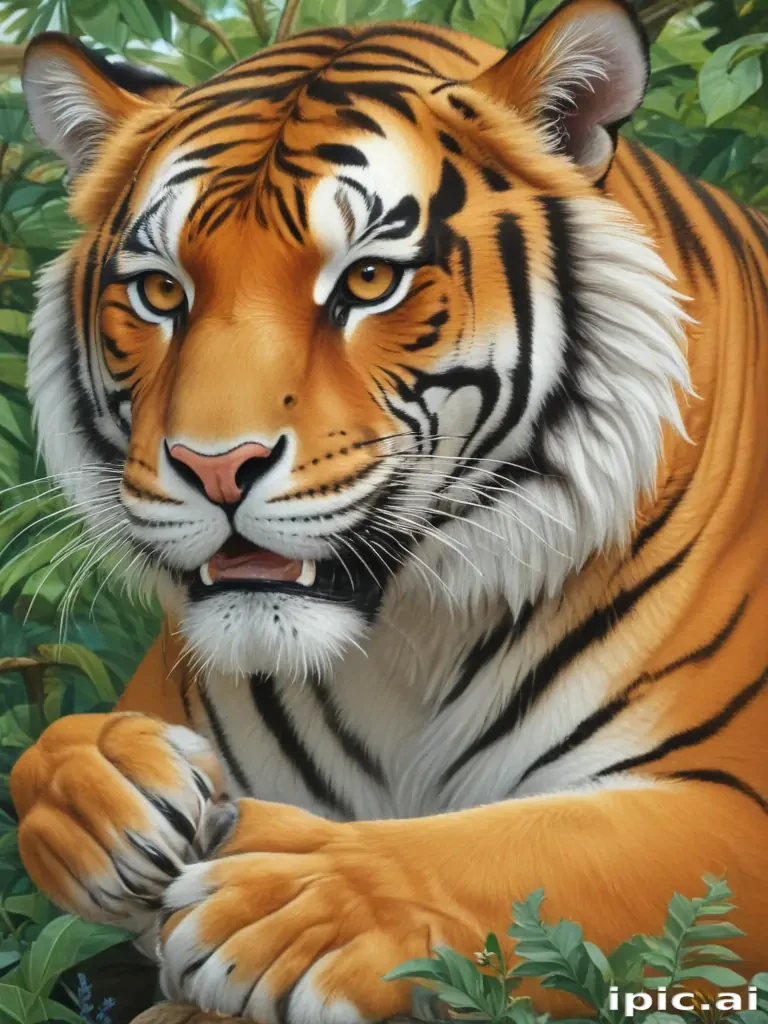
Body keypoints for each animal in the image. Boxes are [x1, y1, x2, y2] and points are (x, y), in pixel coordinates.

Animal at [9, 0, 768, 1019]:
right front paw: (112, 790)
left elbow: (520, 851)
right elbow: (41, 754)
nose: (217, 466)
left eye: (369, 282)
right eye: (162, 290)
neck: (407, 639)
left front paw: (300, 909)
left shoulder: (733, 797)